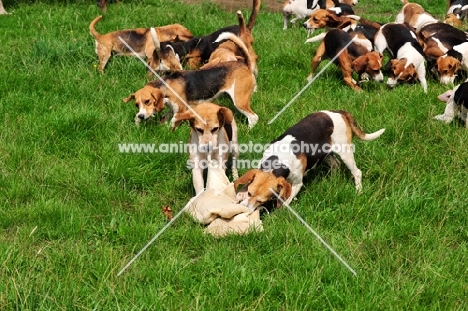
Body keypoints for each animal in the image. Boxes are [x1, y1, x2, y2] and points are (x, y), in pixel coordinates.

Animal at [234, 109, 384, 212]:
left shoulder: (297, 184)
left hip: (345, 152)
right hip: (325, 154)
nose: (245, 209)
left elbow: (285, 202)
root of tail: (338, 112)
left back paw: (358, 191)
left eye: (261, 200)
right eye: (249, 193)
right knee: (335, 164)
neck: (278, 161)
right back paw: (333, 181)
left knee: (357, 172)